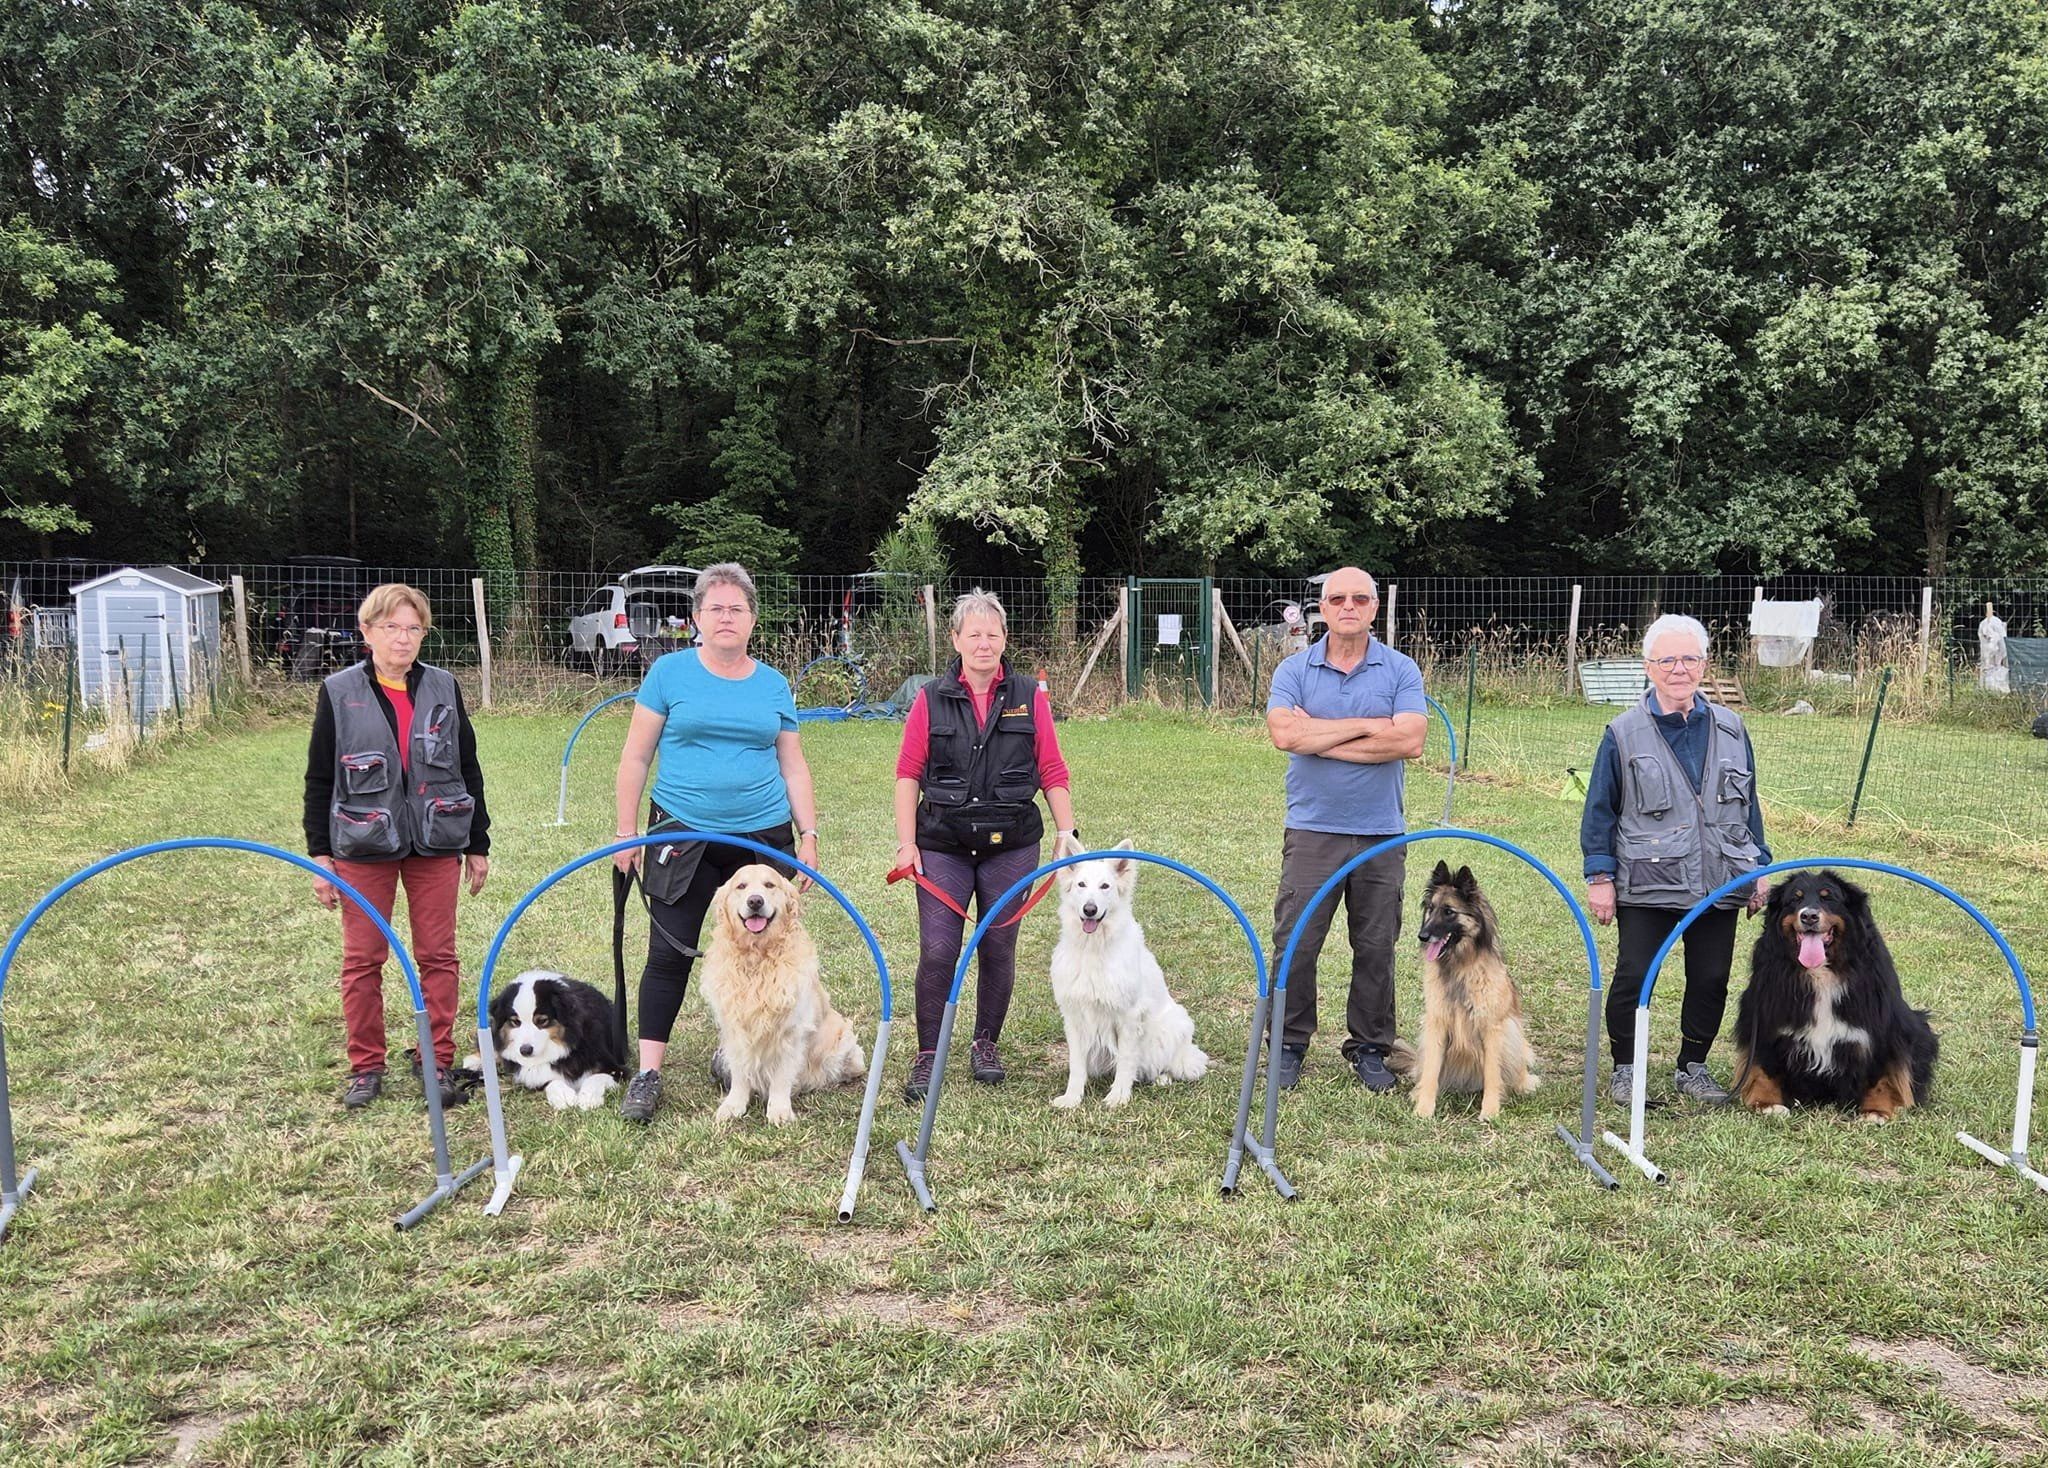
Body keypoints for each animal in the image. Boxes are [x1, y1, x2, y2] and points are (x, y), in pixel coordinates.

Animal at [1048, 843, 1204, 1105]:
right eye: (1081, 884)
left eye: (1105, 886)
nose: (1089, 909)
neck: (1094, 948)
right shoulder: (1074, 1017)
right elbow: (1076, 1065)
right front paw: (1072, 1098)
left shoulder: (1129, 1018)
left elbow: (1125, 1061)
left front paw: (1118, 1097)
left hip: (1172, 1027)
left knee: (1169, 1064)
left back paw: (1162, 1078)